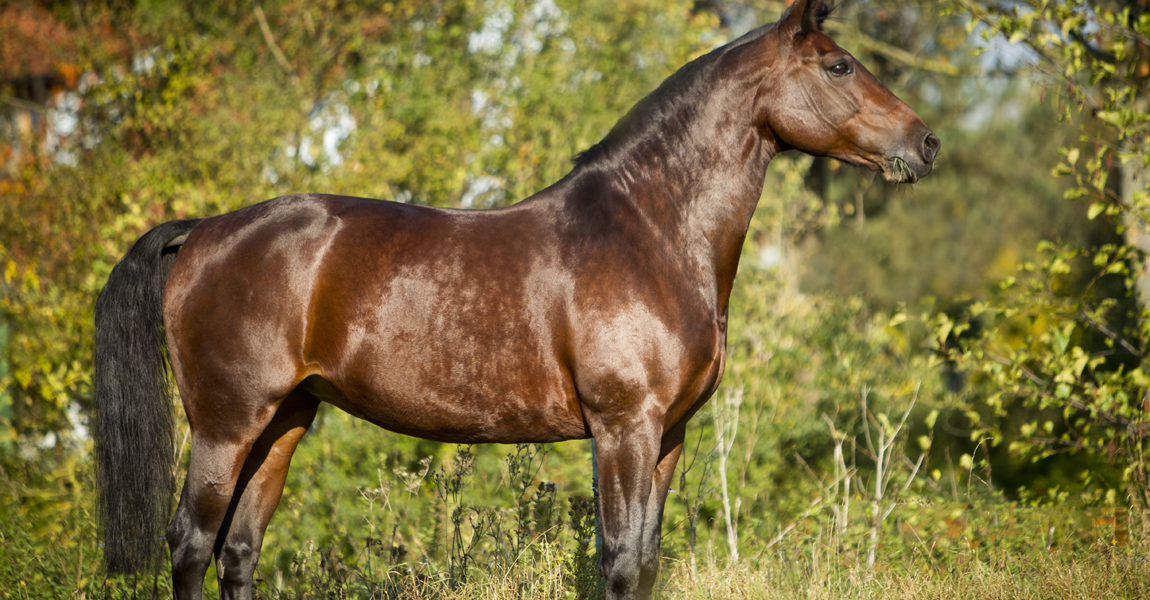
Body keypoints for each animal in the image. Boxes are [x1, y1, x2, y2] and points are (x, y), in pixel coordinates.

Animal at [94, 2, 938, 593]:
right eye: (839, 66)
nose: (926, 142)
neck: (650, 230)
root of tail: (205, 231)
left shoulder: (667, 436)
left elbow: (647, 562)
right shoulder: (623, 428)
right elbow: (620, 561)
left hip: (284, 421)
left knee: (238, 553)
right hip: (225, 425)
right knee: (191, 547)